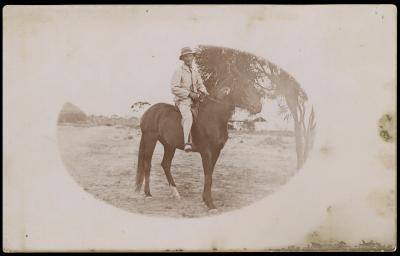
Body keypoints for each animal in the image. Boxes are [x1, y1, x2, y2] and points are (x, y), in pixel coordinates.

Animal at [134, 76, 262, 212]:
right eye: (244, 87)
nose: (259, 107)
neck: (214, 116)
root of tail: (148, 111)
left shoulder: (216, 151)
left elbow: (210, 174)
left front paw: (205, 199)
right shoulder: (206, 152)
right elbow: (208, 176)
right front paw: (210, 204)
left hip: (169, 146)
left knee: (165, 164)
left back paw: (175, 193)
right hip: (150, 140)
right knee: (147, 164)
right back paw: (148, 194)